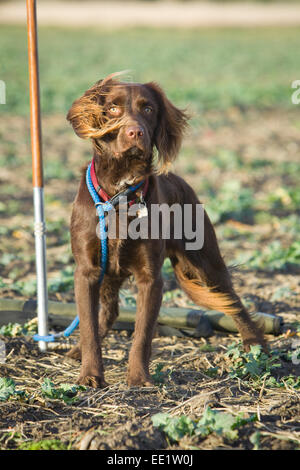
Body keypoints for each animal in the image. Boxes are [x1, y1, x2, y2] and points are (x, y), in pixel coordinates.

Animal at [66, 73, 264, 388]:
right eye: (112, 109)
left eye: (148, 109)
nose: (135, 133)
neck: (121, 192)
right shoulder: (87, 271)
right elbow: (88, 328)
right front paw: (90, 375)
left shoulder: (151, 278)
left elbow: (143, 333)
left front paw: (138, 378)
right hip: (110, 272)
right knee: (109, 312)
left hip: (205, 262)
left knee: (233, 301)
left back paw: (256, 346)